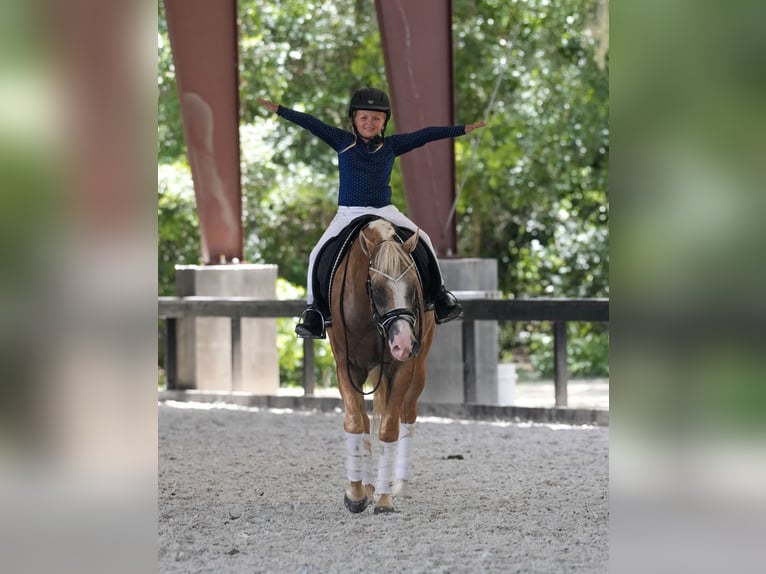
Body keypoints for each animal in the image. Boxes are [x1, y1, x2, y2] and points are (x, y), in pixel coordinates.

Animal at [326, 218, 435, 514]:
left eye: (413, 288)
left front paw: (385, 499)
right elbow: (356, 423)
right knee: (365, 422)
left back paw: (398, 485)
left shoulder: (402, 369)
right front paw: (356, 494)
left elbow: (389, 428)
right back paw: (367, 486)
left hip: (418, 370)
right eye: (376, 289)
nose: (402, 344)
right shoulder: (347, 367)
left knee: (407, 415)